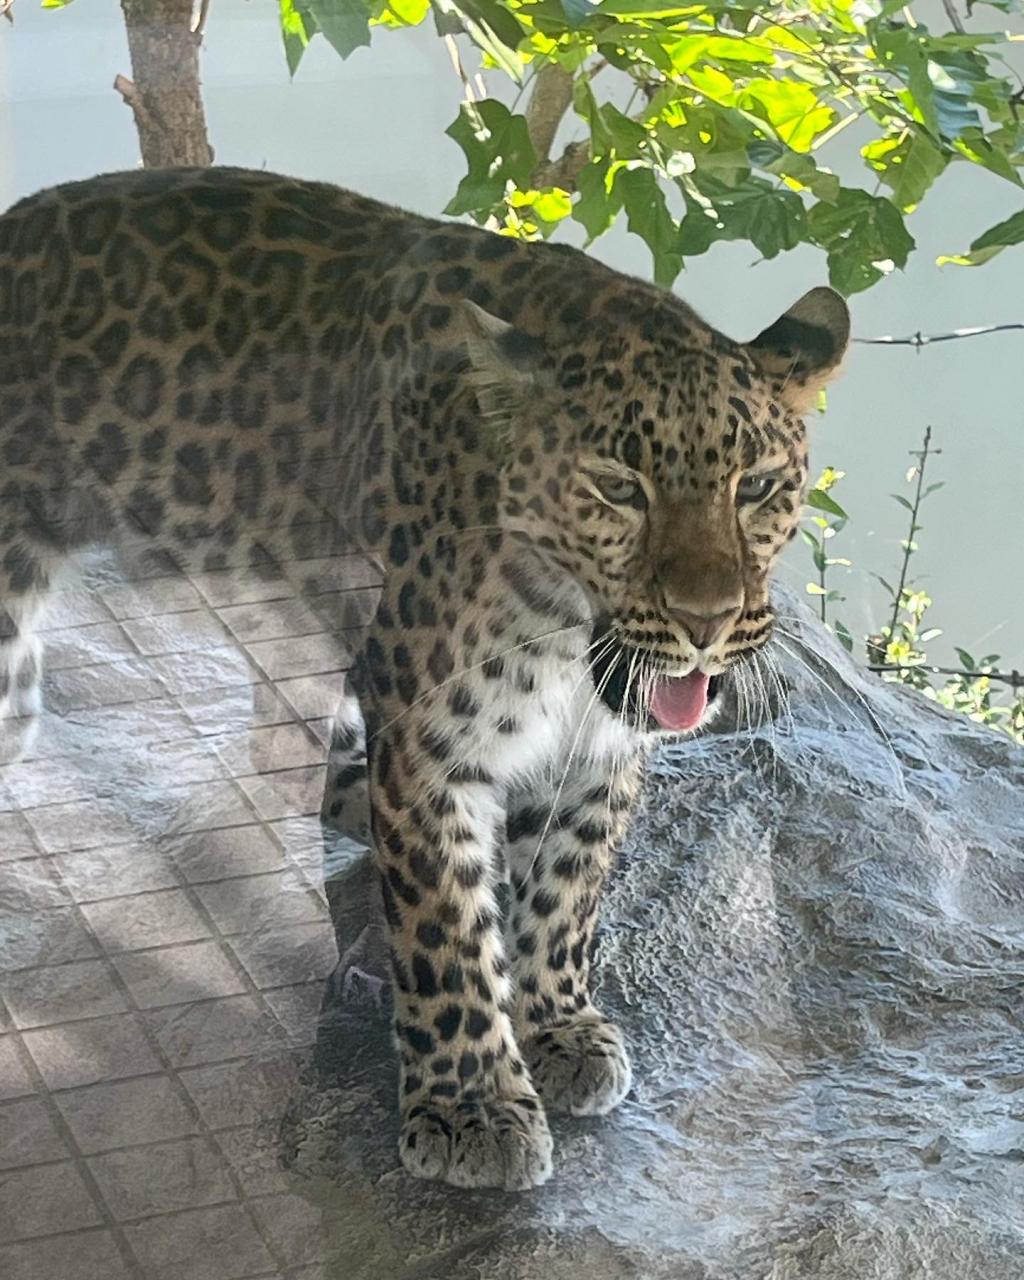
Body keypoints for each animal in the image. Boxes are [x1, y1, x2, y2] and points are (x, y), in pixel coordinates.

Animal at [0, 167, 849, 1187]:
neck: (562, 628)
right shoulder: (430, 741)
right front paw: (471, 1105)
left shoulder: (600, 751)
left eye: (757, 488)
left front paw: (558, 1025)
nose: (706, 622)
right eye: (618, 489)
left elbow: (566, 889)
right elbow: (448, 927)